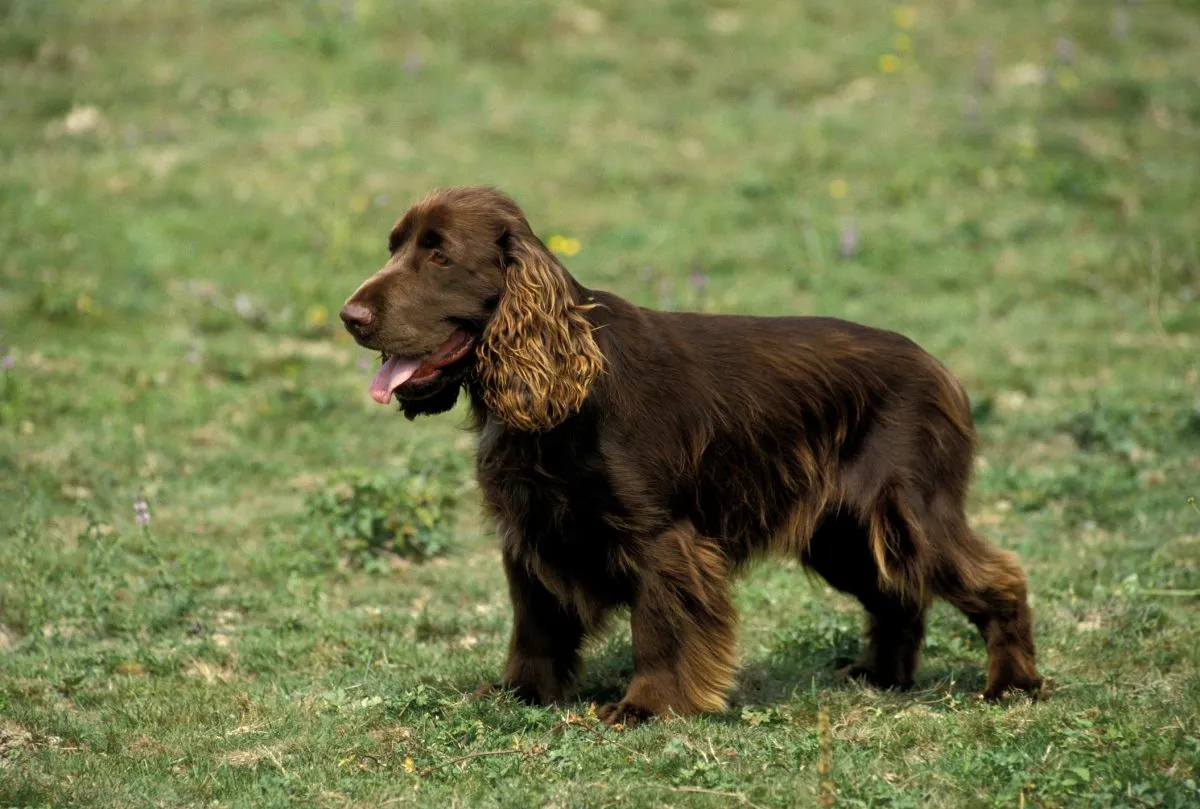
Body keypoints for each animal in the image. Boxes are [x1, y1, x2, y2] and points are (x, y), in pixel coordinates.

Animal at [338, 184, 1041, 724]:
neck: (566, 389)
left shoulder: (662, 538)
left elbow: (660, 629)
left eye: (440, 255)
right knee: (898, 595)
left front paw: (646, 707)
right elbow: (533, 627)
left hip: (907, 511)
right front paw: (518, 694)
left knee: (999, 577)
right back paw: (880, 676)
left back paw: (1012, 684)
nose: (350, 316)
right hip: (841, 533)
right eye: (395, 247)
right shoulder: (529, 530)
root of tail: (941, 369)